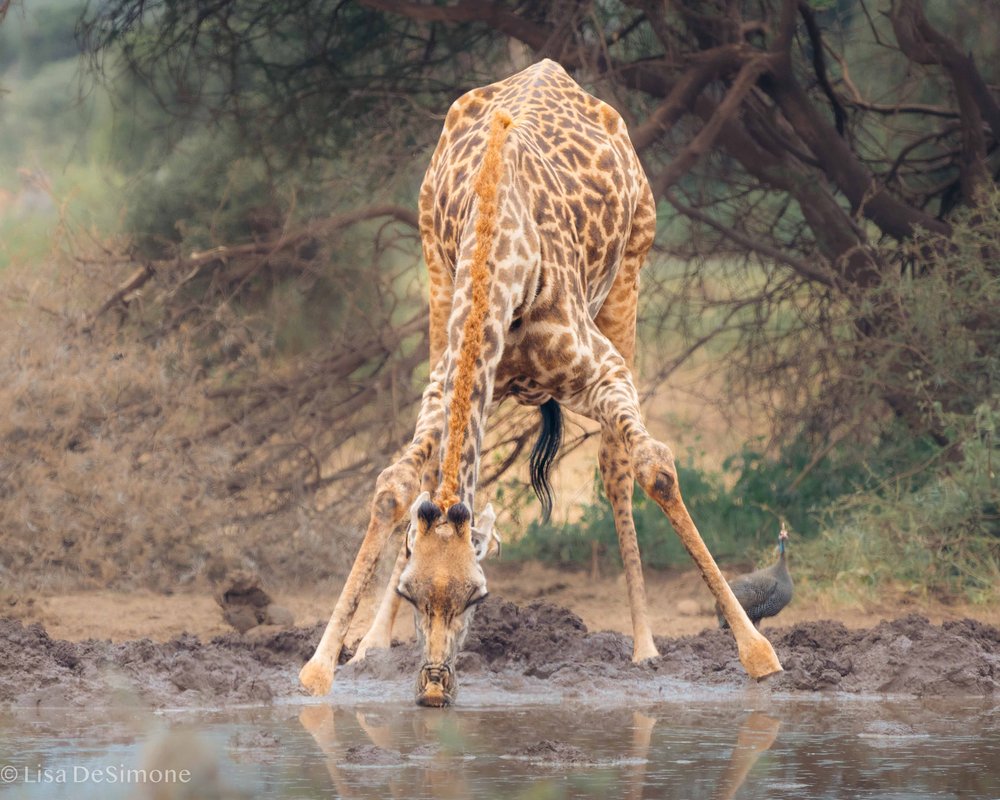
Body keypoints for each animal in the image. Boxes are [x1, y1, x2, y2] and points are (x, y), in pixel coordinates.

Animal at [300, 57, 784, 708]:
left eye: (477, 597)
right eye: (408, 592)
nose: (434, 689)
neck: (501, 252)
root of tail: (552, 68)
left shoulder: (604, 370)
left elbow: (655, 467)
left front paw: (758, 655)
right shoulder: (444, 379)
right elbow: (395, 485)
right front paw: (327, 663)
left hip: (630, 279)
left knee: (615, 465)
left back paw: (644, 647)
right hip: (433, 283)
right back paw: (375, 643)